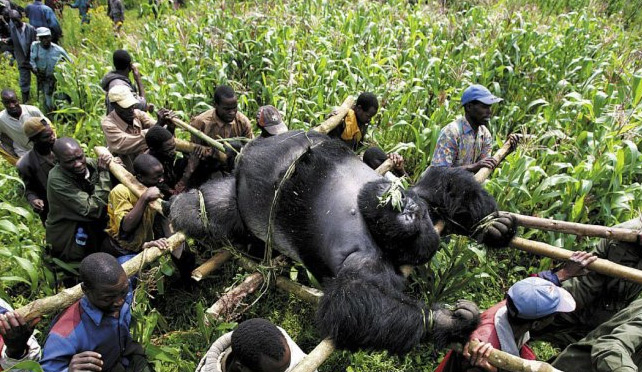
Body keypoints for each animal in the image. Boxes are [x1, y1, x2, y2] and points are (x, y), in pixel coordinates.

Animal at [170, 131, 516, 354]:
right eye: (406, 210)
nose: (403, 208)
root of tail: (244, 154)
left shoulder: (375, 250)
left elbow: (348, 301)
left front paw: (490, 227)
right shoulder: (412, 200)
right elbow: (443, 182)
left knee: (211, 209)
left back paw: (185, 206)